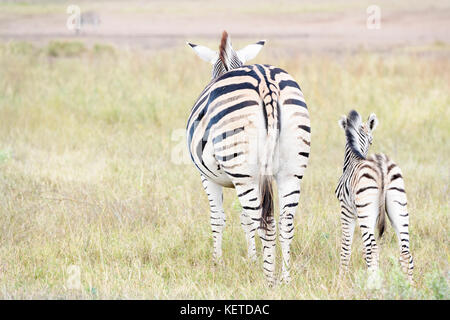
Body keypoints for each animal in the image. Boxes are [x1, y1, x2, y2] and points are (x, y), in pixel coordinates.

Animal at [336, 110, 414, 282]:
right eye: (371, 141)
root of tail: (381, 165)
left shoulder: (346, 210)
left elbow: (346, 247)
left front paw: (341, 278)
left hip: (365, 212)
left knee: (373, 249)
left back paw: (372, 284)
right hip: (398, 207)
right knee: (406, 252)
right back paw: (410, 286)